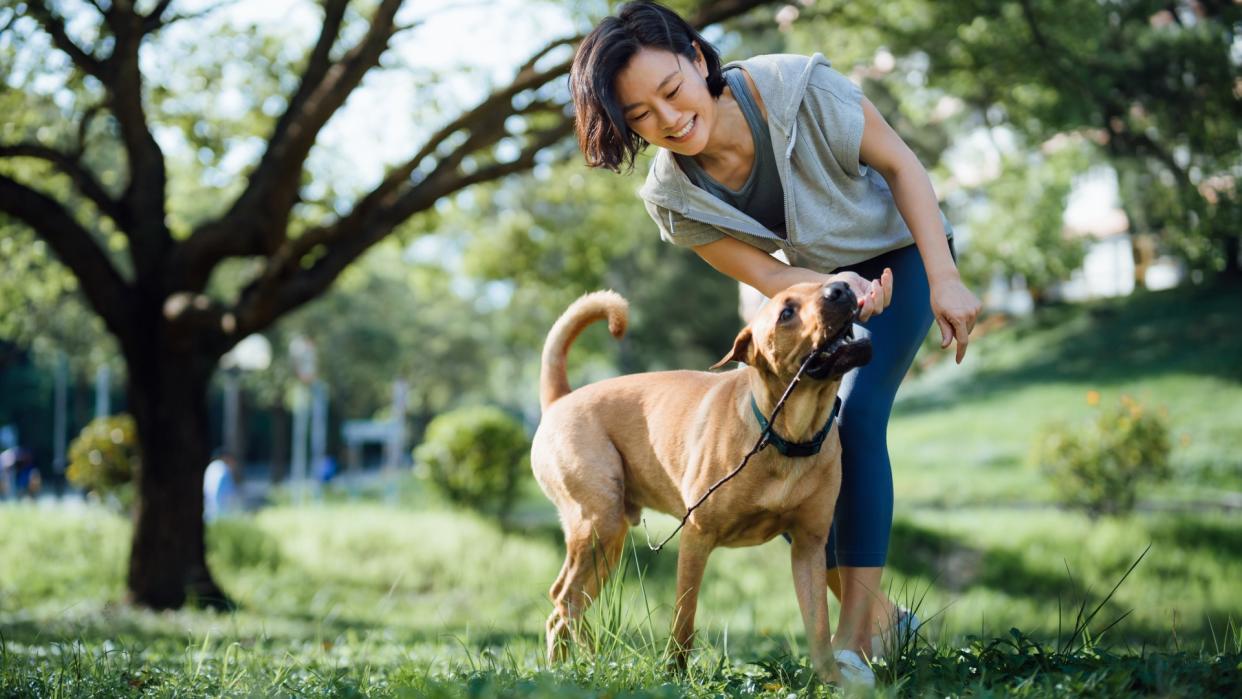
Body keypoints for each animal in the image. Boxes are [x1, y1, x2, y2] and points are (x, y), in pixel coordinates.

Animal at [534, 280, 874, 685]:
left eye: (822, 282)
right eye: (786, 313)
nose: (841, 287)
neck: (785, 436)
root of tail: (560, 400)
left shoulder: (809, 546)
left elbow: (819, 627)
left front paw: (833, 682)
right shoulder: (696, 537)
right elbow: (684, 619)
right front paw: (675, 675)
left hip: (606, 545)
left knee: (567, 606)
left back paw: (576, 667)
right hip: (598, 525)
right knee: (563, 603)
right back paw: (571, 670)